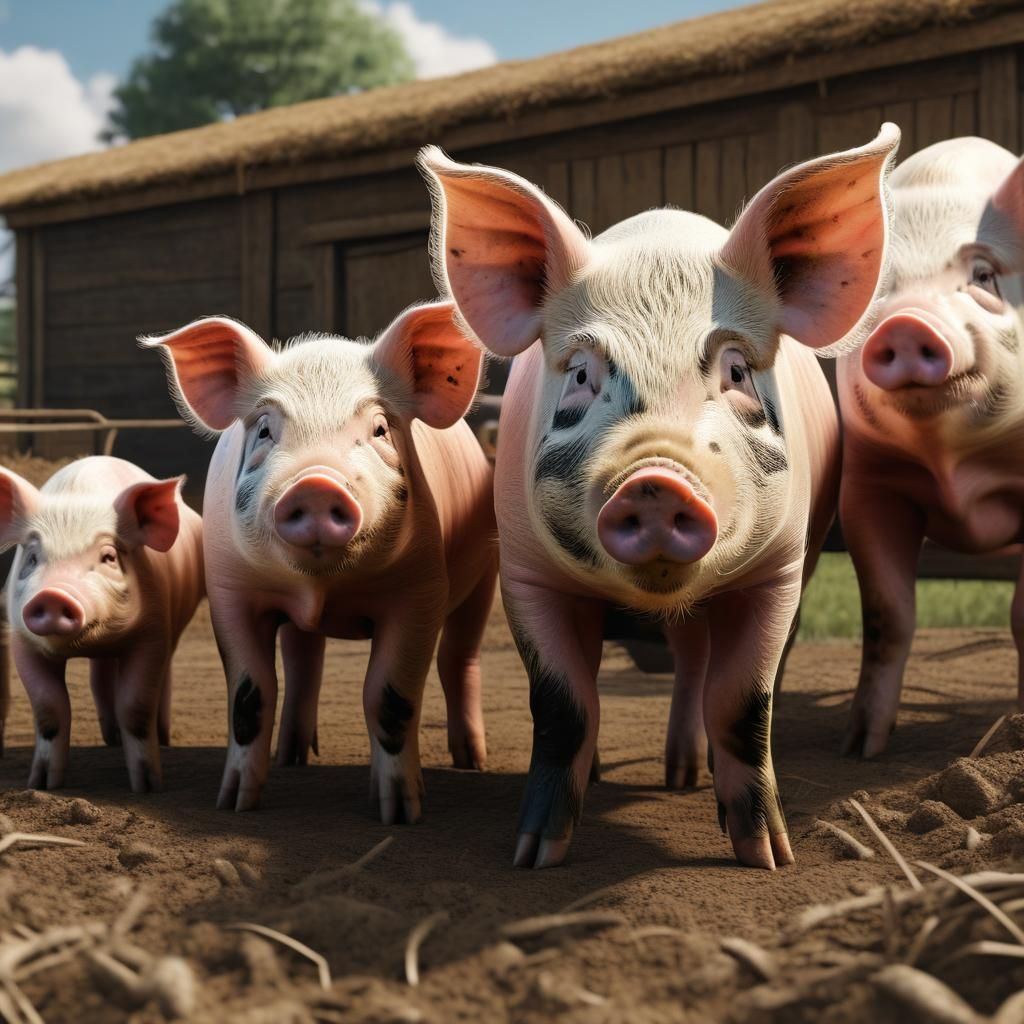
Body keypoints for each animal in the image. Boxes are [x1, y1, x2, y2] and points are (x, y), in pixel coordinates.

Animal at [0, 456, 204, 791]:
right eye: (31, 557)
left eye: (108, 556)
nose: (53, 594)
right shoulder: (22, 640)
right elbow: (48, 708)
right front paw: (42, 784)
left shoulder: (153, 631)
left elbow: (135, 706)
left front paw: (147, 787)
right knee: (100, 675)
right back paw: (110, 738)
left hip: (175, 626)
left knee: (165, 673)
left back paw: (163, 737)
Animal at [143, 300, 497, 821]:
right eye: (265, 429)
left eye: (379, 428)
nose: (315, 484)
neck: (322, 587)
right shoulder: (230, 591)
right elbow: (251, 696)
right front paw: (234, 804)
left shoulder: (420, 590)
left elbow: (389, 696)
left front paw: (399, 812)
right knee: (303, 660)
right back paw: (293, 757)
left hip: (484, 574)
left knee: (461, 657)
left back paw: (472, 760)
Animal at [419, 123, 900, 869]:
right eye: (579, 373)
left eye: (737, 370)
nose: (654, 477)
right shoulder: (525, 572)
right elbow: (562, 706)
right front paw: (535, 854)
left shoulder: (780, 571)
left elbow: (743, 702)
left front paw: (767, 857)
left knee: (702, 671)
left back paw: (685, 777)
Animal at [836, 137, 1024, 757]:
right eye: (877, 294)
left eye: (984, 275)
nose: (904, 325)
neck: (953, 467)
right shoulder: (868, 487)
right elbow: (886, 615)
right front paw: (860, 748)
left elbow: (1021, 614)